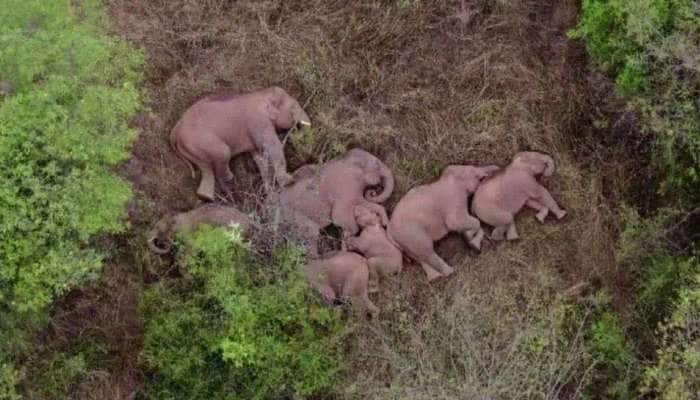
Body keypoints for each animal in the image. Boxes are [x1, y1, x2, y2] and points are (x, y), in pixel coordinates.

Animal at [168, 86, 310, 202]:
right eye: (293, 108)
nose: (296, 130)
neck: (262, 93)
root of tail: (175, 131)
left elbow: (260, 157)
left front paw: (271, 194)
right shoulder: (258, 121)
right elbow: (272, 146)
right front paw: (289, 181)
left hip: (191, 148)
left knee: (206, 168)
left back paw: (210, 198)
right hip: (201, 141)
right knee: (223, 155)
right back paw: (228, 182)